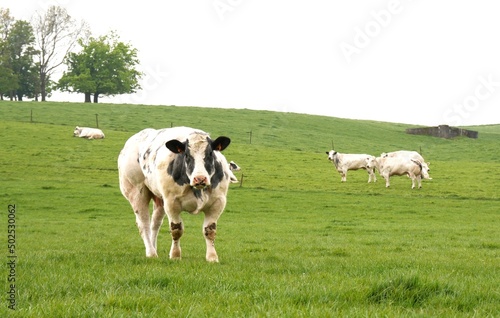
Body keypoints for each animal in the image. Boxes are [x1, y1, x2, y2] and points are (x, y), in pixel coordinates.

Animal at [118, 125, 233, 262]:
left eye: (210, 153)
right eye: (186, 155)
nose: (200, 178)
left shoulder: (217, 203)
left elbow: (209, 231)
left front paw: (212, 257)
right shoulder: (171, 203)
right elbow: (176, 230)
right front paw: (175, 255)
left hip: (159, 199)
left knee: (155, 224)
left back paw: (154, 248)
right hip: (136, 192)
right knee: (144, 224)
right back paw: (151, 252)